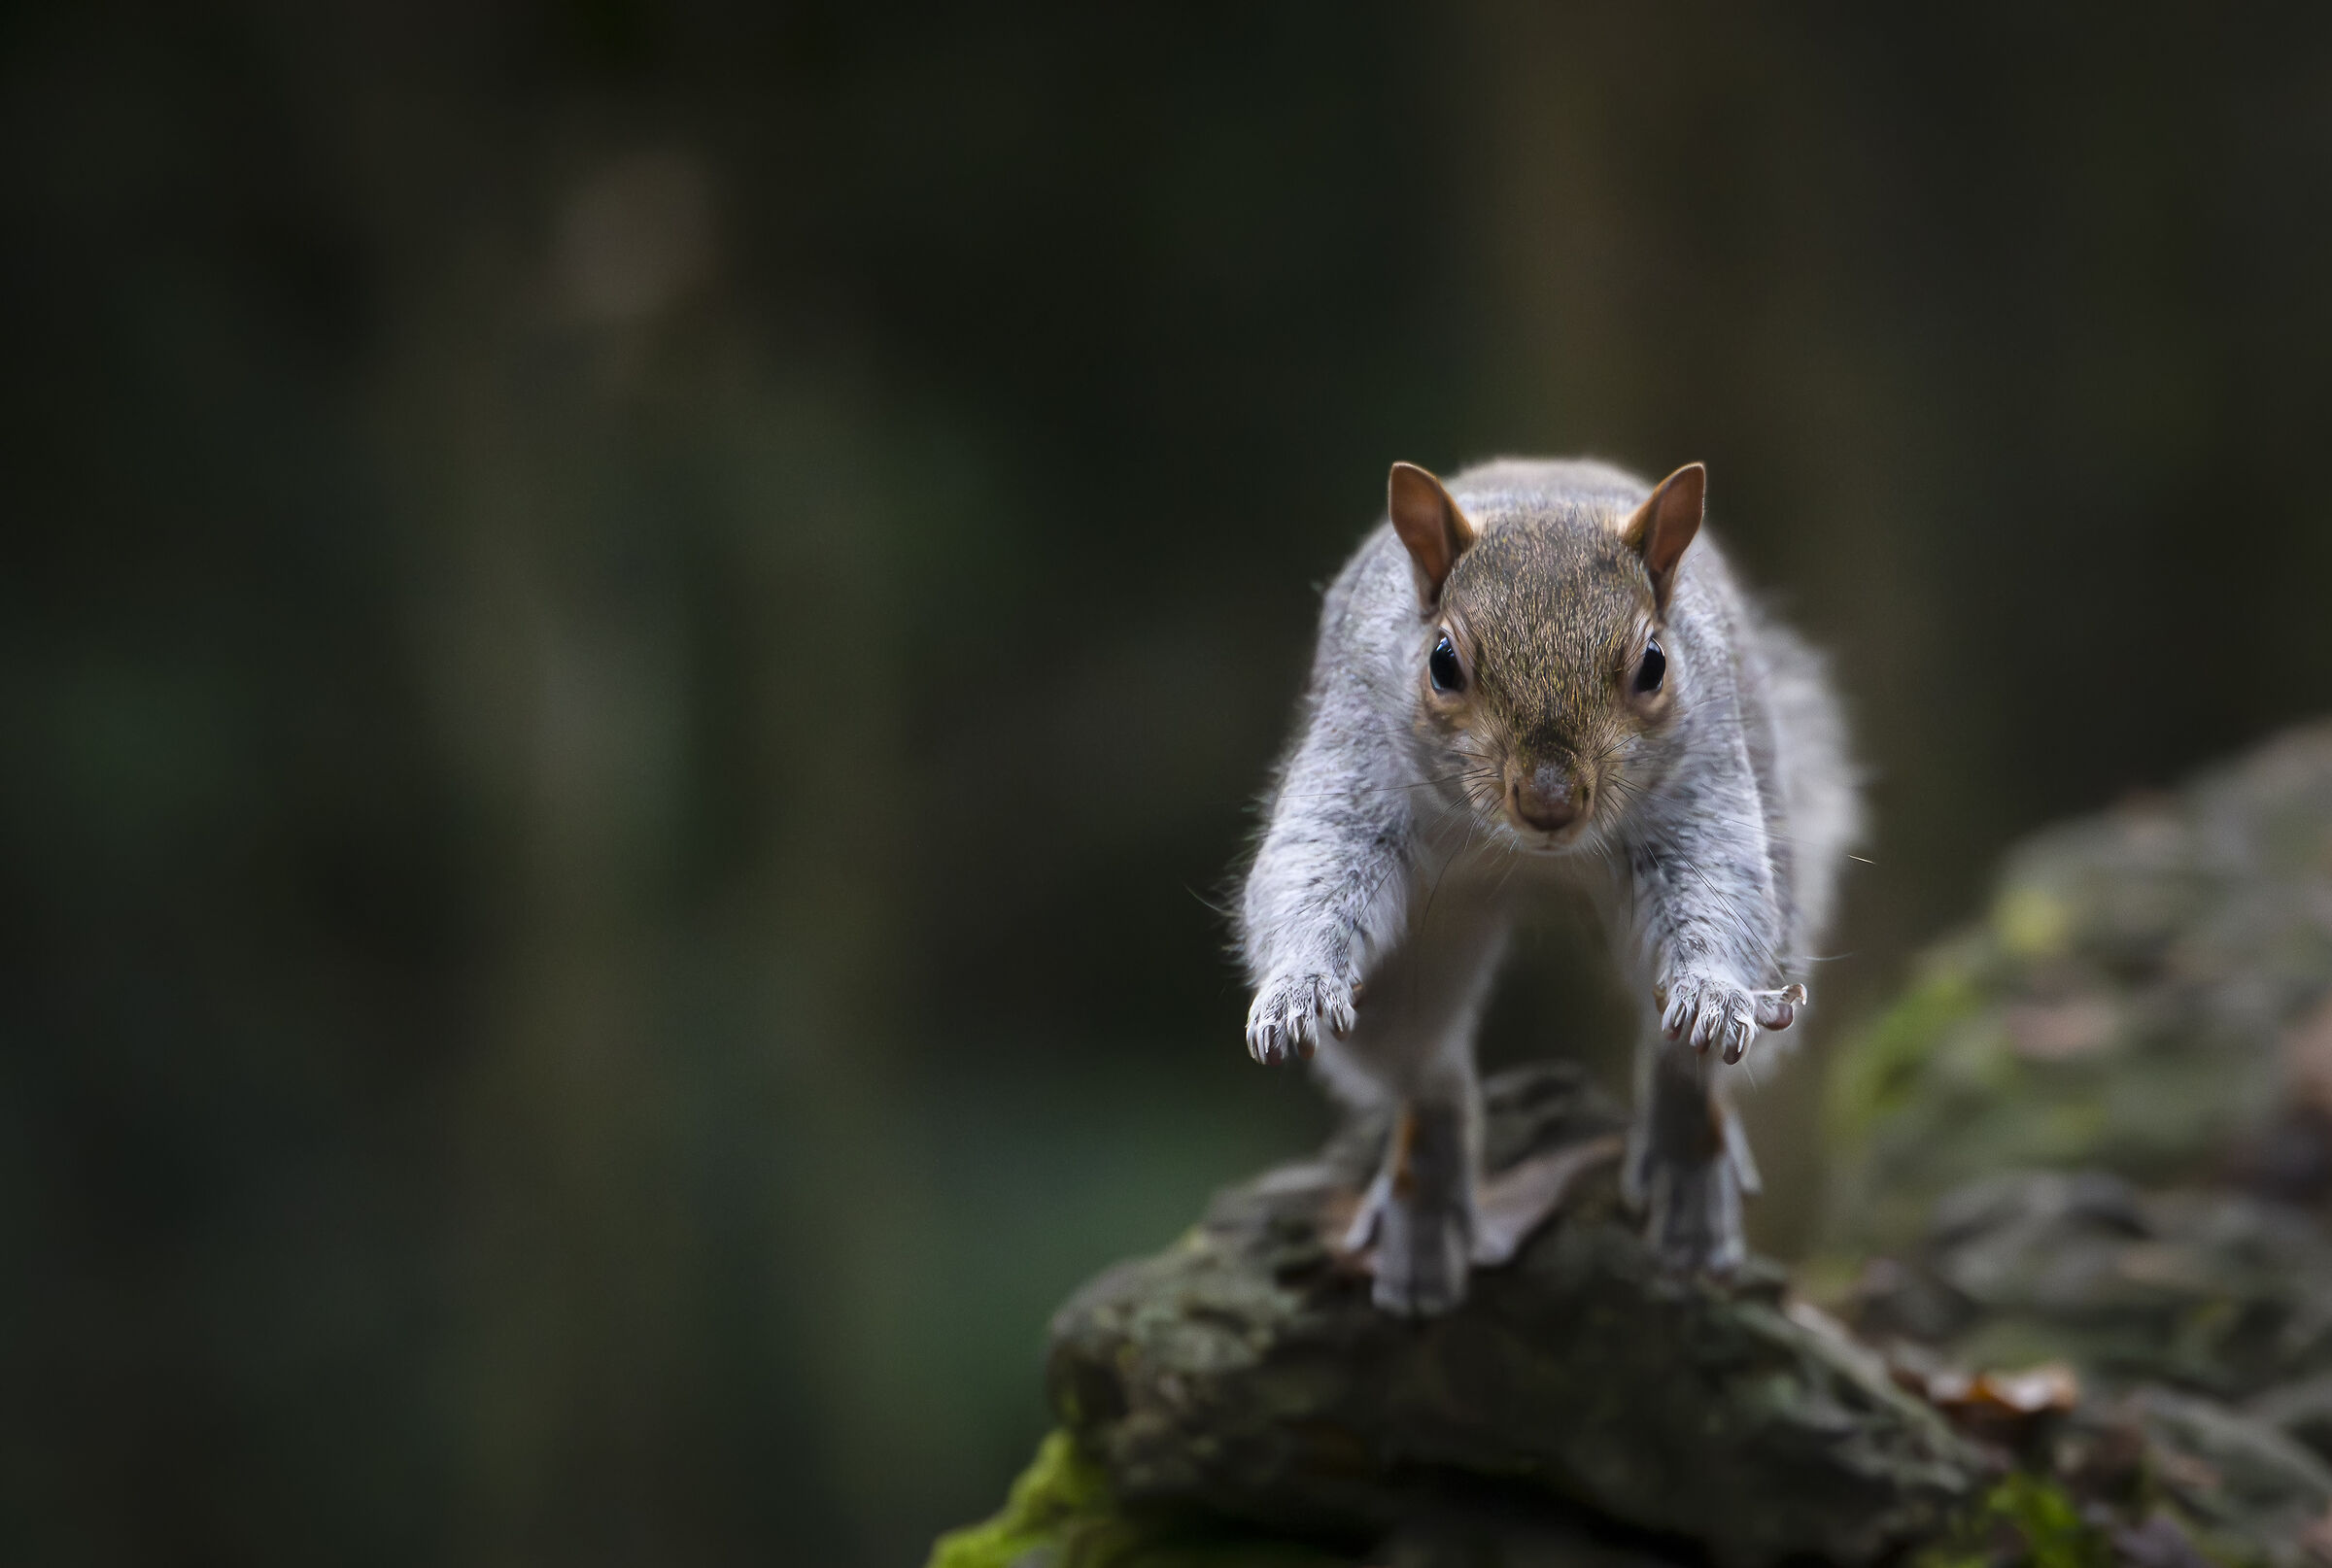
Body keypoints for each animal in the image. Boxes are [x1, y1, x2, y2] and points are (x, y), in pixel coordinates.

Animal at [1236, 457, 1858, 1315]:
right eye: (1443, 662)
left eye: (1654, 664)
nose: (1550, 802)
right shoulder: (1355, 759)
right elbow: (1316, 858)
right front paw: (1297, 986)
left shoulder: (1705, 792)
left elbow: (1718, 882)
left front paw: (1710, 990)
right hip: (1411, 971)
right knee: (1425, 1072)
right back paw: (1427, 1207)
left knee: (1686, 1055)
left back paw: (1688, 1168)